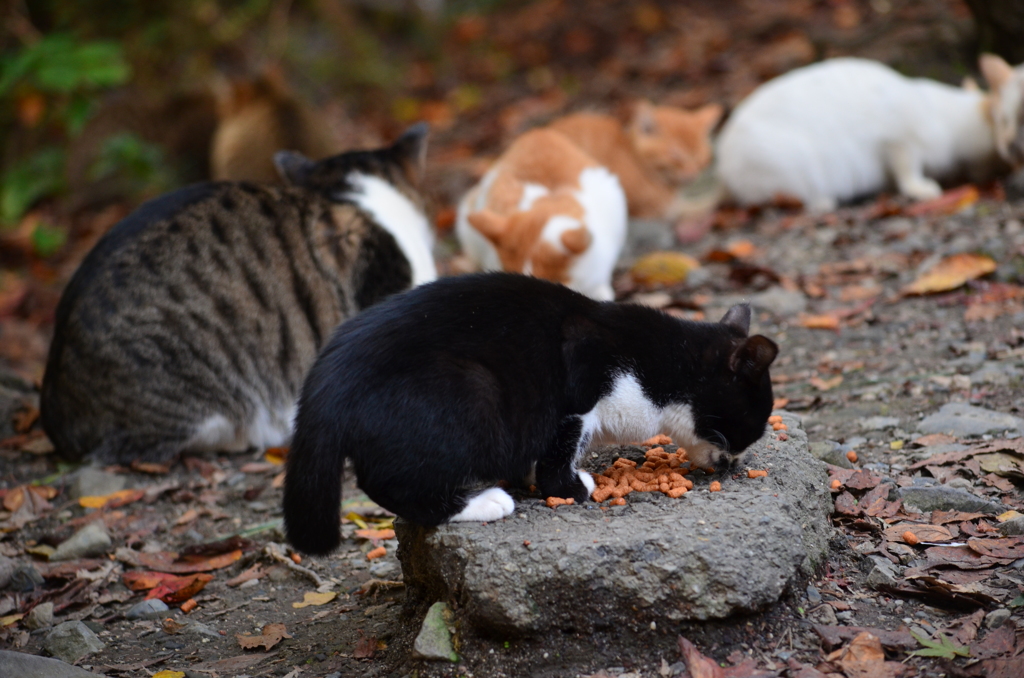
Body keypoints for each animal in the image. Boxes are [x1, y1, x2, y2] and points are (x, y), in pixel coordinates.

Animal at [280, 274, 774, 557]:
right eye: (749, 425)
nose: (733, 465)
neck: (659, 369)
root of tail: (322, 385)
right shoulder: (576, 390)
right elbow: (560, 453)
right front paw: (573, 487)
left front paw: (535, 477)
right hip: (470, 391)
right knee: (388, 482)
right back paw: (482, 502)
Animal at [716, 56, 1024, 213]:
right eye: (1002, 120)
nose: (1010, 149)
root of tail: (726, 174)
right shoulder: (900, 141)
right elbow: (907, 173)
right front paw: (925, 190)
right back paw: (825, 202)